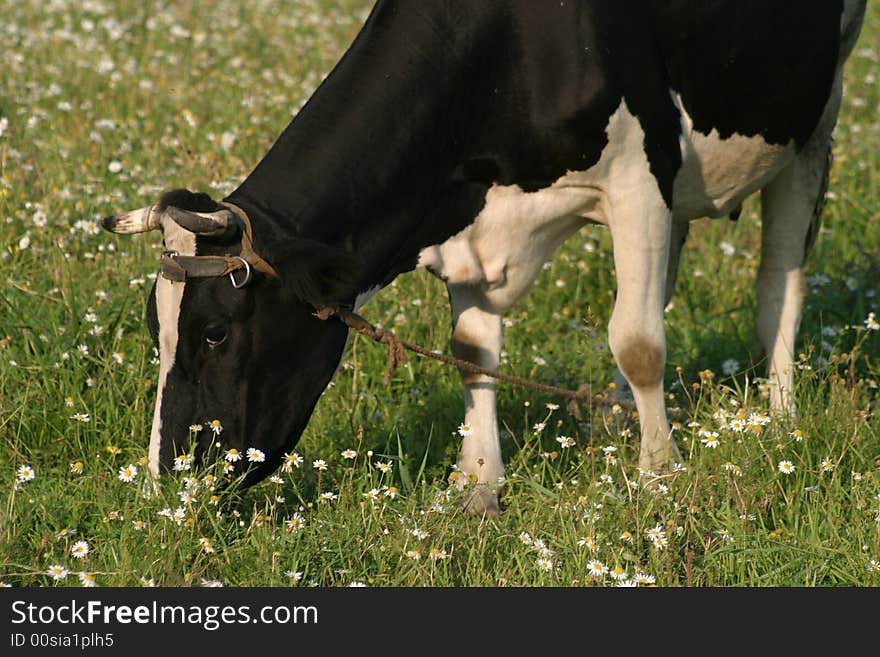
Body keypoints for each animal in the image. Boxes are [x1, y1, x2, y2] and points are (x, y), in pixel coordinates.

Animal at [103, 0, 868, 516]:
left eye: (215, 332)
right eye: (153, 329)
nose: (168, 482)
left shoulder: (639, 175)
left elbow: (639, 343)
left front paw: (659, 476)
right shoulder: (463, 219)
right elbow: (473, 350)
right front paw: (477, 485)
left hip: (816, 115)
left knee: (779, 282)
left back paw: (780, 417)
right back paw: (622, 413)